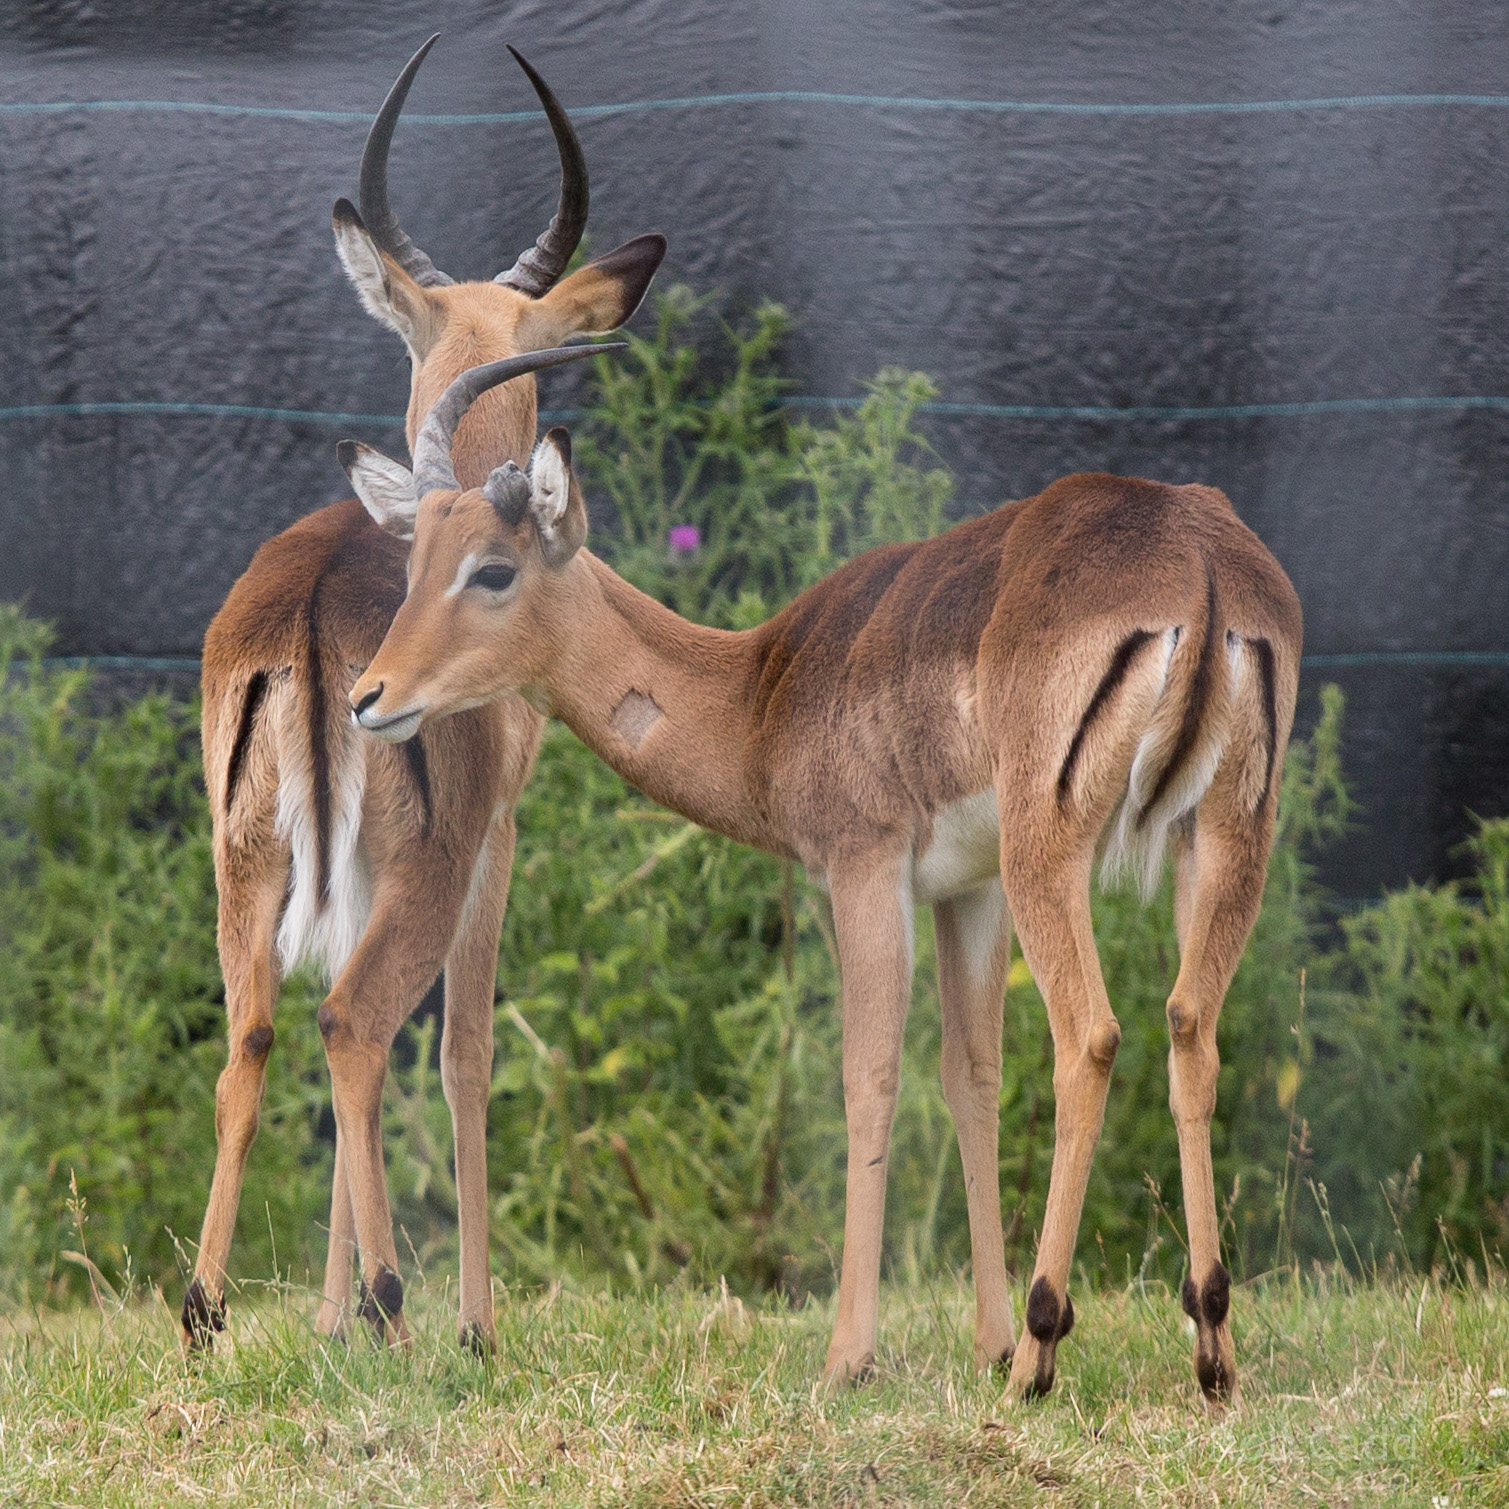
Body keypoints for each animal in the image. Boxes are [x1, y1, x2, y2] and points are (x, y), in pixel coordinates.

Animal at [184, 37, 664, 1356]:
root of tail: (303, 613)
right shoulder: (497, 836)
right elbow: (463, 1048)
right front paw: (470, 1322)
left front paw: (328, 1320)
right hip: (425, 867)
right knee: (357, 1022)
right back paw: (408, 1313)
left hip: (249, 869)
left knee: (259, 1035)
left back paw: (208, 1309)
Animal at [341, 360, 1302, 1404]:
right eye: (414, 565)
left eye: (493, 568)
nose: (369, 697)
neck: (761, 693)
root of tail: (1198, 565)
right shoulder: (967, 890)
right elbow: (969, 1076)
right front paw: (983, 1340)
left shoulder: (863, 864)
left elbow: (866, 1076)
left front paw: (851, 1356)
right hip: (1219, 840)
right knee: (1188, 1027)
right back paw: (1207, 1347)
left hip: (1051, 851)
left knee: (1089, 1035)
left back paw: (1040, 1355)